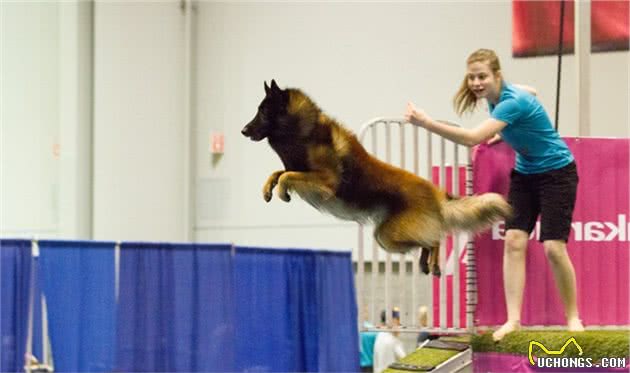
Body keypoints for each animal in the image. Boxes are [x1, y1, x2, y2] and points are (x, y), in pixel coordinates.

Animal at [242, 80, 512, 274]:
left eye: (263, 112)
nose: (243, 130)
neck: (304, 130)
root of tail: (435, 192)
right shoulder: (300, 169)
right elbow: (278, 172)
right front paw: (268, 189)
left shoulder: (326, 181)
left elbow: (287, 175)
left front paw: (281, 191)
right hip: (393, 236)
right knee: (431, 238)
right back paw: (427, 264)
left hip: (389, 236)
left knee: (436, 237)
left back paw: (433, 262)